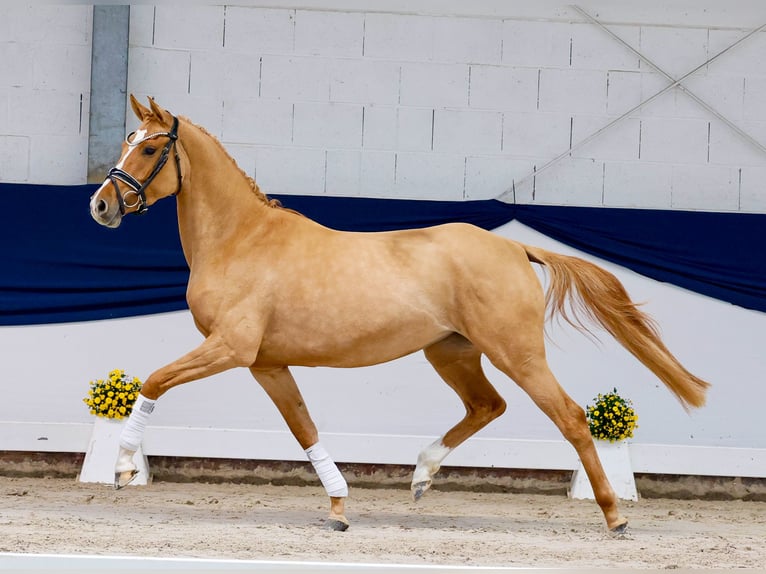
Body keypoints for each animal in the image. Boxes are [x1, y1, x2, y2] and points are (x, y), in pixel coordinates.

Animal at [89, 95, 710, 533]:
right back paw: (421, 476)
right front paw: (339, 508)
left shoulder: (230, 348)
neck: (242, 240)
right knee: (488, 405)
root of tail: (514, 247)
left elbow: (155, 380)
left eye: (150, 149)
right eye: (126, 140)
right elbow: (304, 428)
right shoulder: (266, 363)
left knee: (571, 417)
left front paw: (122, 469)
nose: (100, 206)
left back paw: (615, 516)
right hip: (452, 352)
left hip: (517, 353)